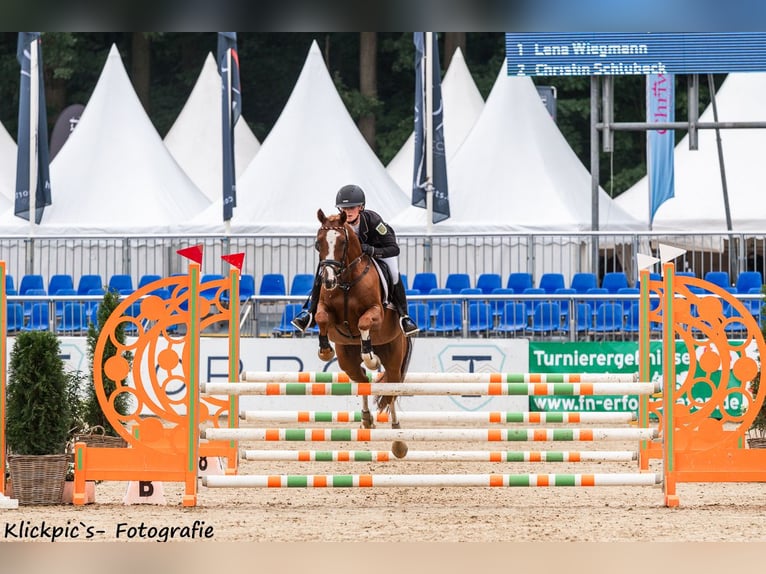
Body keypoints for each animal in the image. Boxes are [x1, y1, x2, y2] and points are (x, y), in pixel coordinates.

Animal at [314, 209, 414, 456]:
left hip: (394, 358)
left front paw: (370, 357)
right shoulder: (326, 310)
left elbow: (364, 323)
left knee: (390, 393)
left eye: (342, 242)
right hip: (347, 360)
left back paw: (398, 440)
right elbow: (321, 317)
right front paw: (324, 350)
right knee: (362, 381)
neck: (346, 281)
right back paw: (367, 419)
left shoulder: (376, 311)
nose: (328, 280)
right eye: (318, 243)